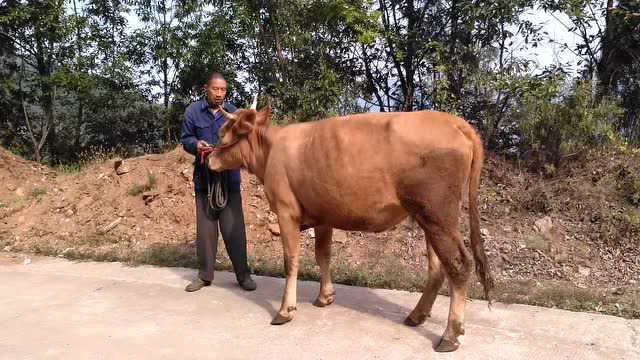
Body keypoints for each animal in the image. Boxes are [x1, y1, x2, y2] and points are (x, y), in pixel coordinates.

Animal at [208, 104, 492, 352]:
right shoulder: (323, 215)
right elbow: (323, 255)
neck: (270, 151)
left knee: (458, 265)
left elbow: (291, 260)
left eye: (222, 133)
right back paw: (417, 315)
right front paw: (325, 297)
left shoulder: (286, 211)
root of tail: (454, 121)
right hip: (430, 218)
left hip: (438, 215)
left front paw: (285, 310)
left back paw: (450, 335)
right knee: (437, 268)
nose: (208, 156)